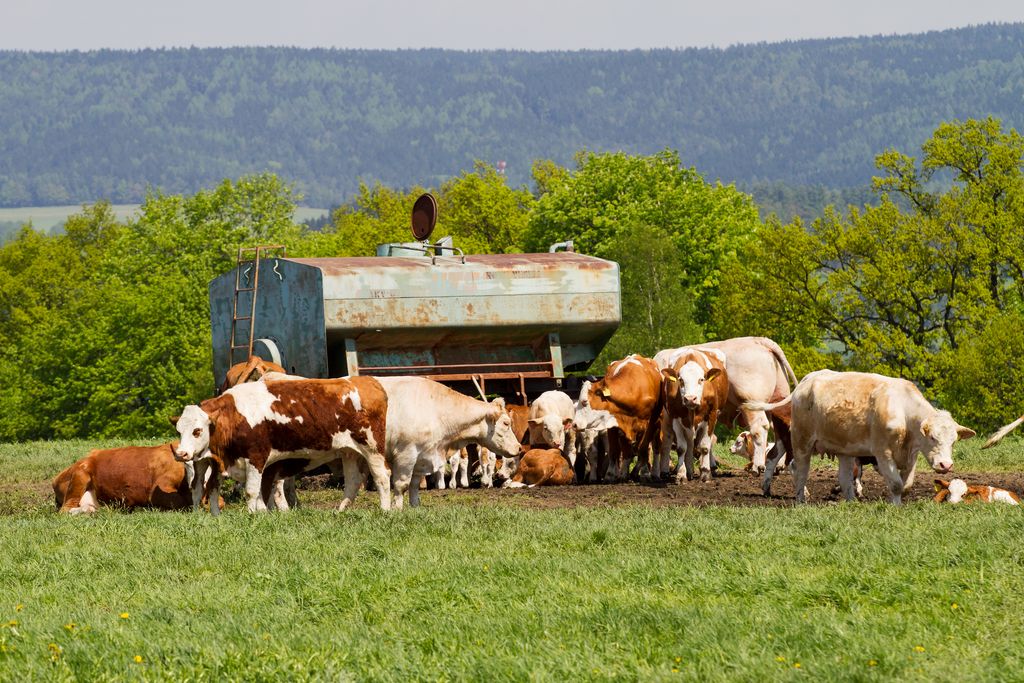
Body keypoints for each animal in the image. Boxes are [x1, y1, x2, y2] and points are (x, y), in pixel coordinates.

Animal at [52, 443, 218, 514]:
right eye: (190, 466)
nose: (199, 484)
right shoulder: (158, 490)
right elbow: (180, 503)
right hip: (80, 474)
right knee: (65, 510)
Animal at [172, 376, 392, 511]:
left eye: (197, 430)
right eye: (179, 431)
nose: (181, 454)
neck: (235, 415)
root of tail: (367, 381)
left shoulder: (256, 458)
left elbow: (252, 492)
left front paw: (252, 516)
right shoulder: (219, 461)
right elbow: (206, 489)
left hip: (372, 447)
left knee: (382, 476)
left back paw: (385, 510)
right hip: (349, 451)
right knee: (353, 480)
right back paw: (340, 511)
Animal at [373, 376, 523, 508]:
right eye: (506, 423)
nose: (519, 447)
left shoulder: (421, 458)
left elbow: (414, 484)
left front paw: (415, 507)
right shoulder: (406, 454)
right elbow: (401, 484)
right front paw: (396, 509)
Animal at [656, 347, 729, 482]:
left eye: (701, 379)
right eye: (681, 380)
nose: (690, 399)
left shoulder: (711, 416)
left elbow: (705, 446)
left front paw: (705, 473)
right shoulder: (675, 417)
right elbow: (681, 448)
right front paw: (681, 474)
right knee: (677, 441)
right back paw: (682, 471)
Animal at [745, 370, 975, 504]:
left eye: (953, 441)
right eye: (933, 438)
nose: (946, 465)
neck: (903, 410)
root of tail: (807, 381)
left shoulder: (911, 455)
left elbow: (906, 484)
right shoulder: (883, 453)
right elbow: (896, 484)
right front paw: (895, 506)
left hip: (844, 450)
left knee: (845, 477)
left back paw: (850, 501)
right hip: (802, 440)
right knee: (800, 470)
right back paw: (802, 499)